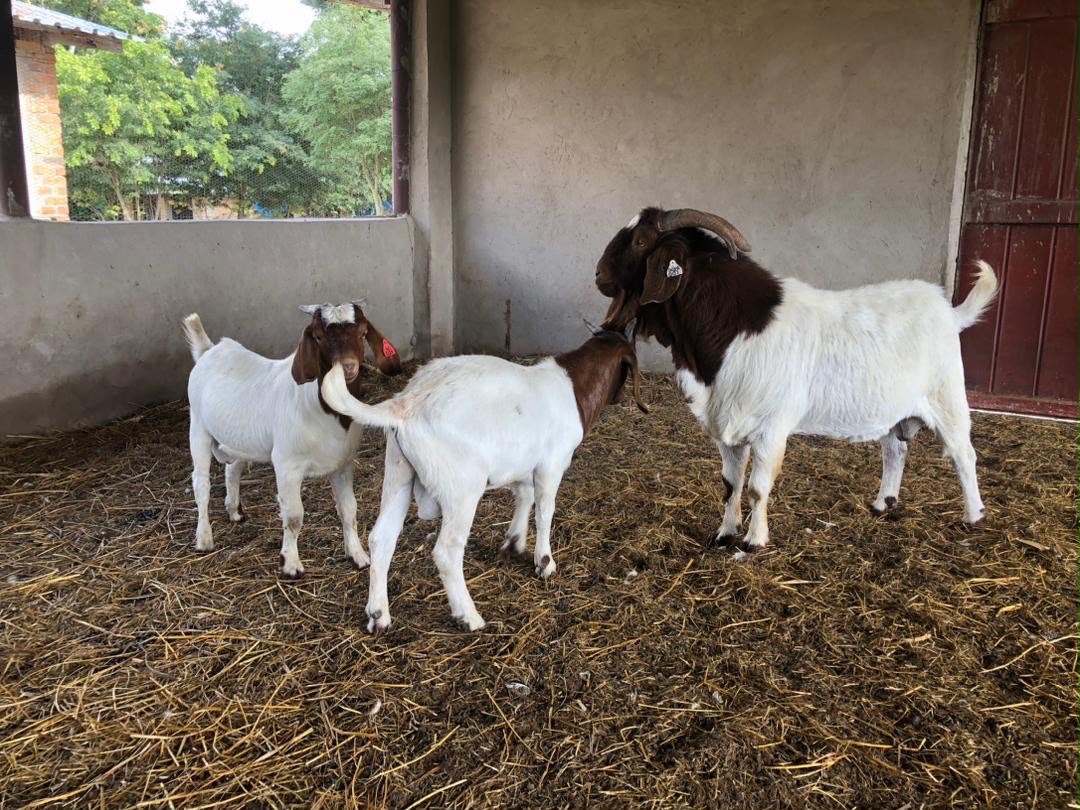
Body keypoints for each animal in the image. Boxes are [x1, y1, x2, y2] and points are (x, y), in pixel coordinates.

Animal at [182, 302, 402, 577]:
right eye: (318, 337)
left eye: (362, 333)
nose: (348, 367)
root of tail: (209, 349)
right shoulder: (287, 465)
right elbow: (294, 516)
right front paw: (291, 564)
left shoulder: (343, 464)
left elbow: (349, 509)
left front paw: (357, 555)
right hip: (198, 428)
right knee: (201, 483)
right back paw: (204, 538)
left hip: (238, 439)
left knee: (232, 469)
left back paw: (234, 511)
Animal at [318, 330, 648, 632]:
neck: (574, 389)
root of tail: (407, 404)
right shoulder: (550, 465)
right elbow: (544, 512)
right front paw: (545, 563)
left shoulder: (523, 465)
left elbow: (524, 497)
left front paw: (514, 543)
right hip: (461, 489)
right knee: (447, 550)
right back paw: (469, 616)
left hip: (398, 471)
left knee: (382, 538)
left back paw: (379, 616)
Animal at [596, 207, 998, 559]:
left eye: (640, 240)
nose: (599, 275)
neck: (734, 327)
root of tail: (950, 311)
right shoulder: (727, 426)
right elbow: (730, 484)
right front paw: (724, 533)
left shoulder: (771, 428)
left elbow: (758, 488)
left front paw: (753, 542)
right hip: (895, 410)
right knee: (895, 451)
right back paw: (883, 504)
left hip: (947, 397)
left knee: (963, 454)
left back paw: (974, 515)